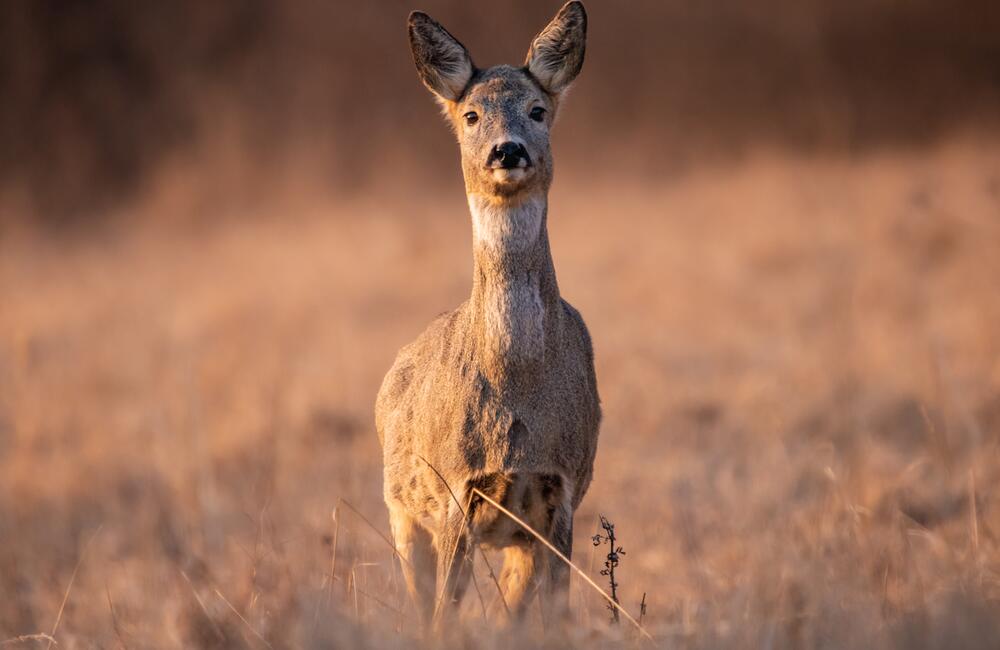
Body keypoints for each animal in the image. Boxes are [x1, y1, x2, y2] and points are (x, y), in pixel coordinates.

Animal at [374, 0, 592, 628]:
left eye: (538, 110)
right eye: (471, 116)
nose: (508, 150)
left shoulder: (562, 487)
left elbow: (555, 616)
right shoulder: (455, 489)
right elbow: (443, 618)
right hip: (401, 513)